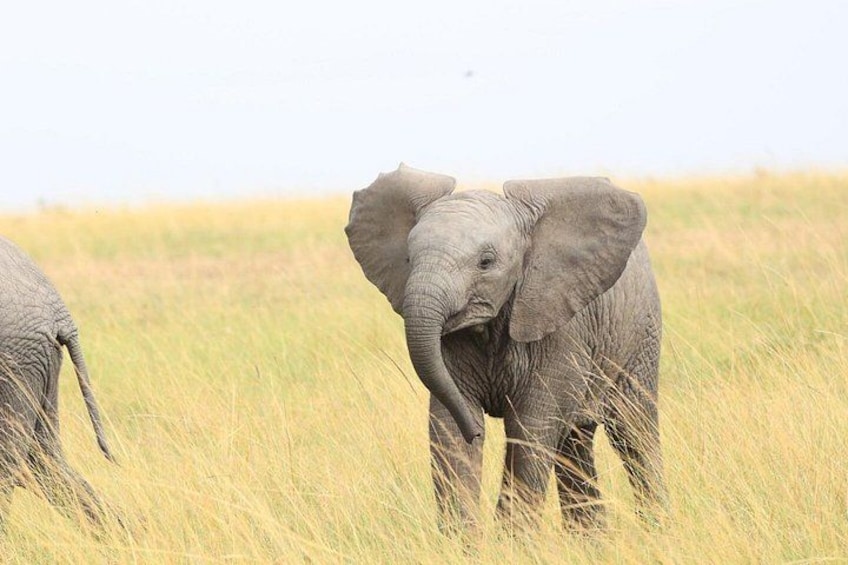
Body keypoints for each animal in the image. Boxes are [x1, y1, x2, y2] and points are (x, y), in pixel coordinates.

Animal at [345, 164, 668, 533]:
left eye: (486, 262)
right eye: (409, 258)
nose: (475, 432)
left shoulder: (560, 326)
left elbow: (530, 430)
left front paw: (513, 542)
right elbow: (447, 430)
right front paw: (462, 541)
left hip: (641, 337)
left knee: (633, 431)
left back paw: (656, 531)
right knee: (575, 445)